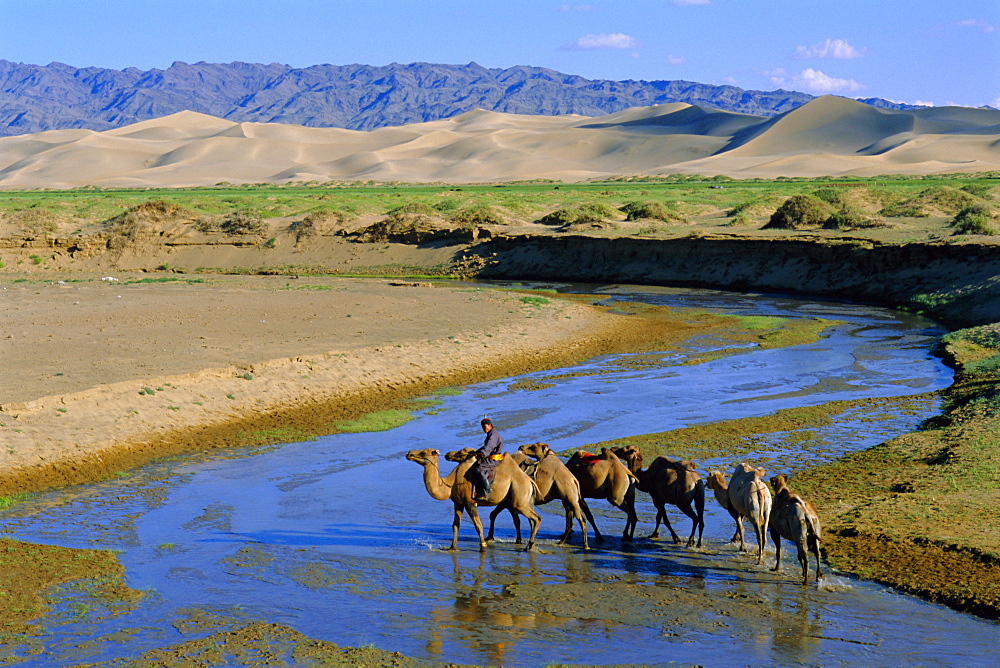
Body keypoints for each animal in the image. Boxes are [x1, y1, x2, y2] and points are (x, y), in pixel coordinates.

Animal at [406, 446, 544, 552]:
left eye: (423, 453)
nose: (409, 453)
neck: (451, 483)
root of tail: (529, 480)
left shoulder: (470, 503)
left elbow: (478, 525)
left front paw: (483, 546)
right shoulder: (458, 503)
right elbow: (455, 525)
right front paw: (452, 547)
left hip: (519, 497)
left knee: (536, 518)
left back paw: (528, 546)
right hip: (519, 500)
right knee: (529, 520)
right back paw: (529, 544)